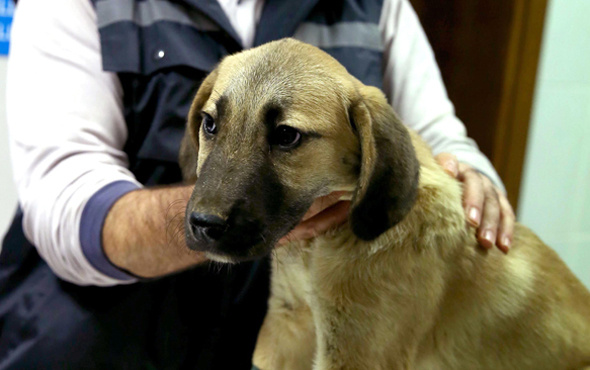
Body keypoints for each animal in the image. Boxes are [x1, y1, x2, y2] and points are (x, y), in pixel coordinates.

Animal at [179, 38, 590, 370]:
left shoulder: (358, 351)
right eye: (210, 124)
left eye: (286, 136)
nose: (203, 224)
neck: (318, 249)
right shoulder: (286, 326)